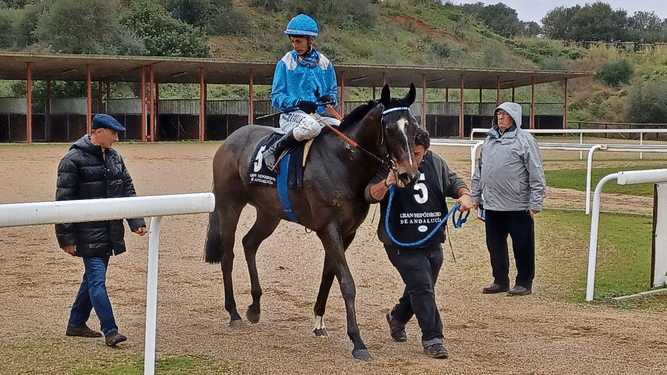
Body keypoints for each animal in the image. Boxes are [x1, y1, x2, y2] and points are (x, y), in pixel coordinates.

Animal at [206, 83, 420, 360]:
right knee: (228, 254)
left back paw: (255, 306)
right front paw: (357, 341)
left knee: (249, 243)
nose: (409, 175)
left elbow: (329, 275)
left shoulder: (346, 232)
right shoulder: (328, 229)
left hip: (268, 212)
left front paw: (319, 322)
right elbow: (346, 282)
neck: (344, 161)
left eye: (414, 127)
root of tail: (231, 139)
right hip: (229, 204)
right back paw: (233, 312)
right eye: (390, 128)